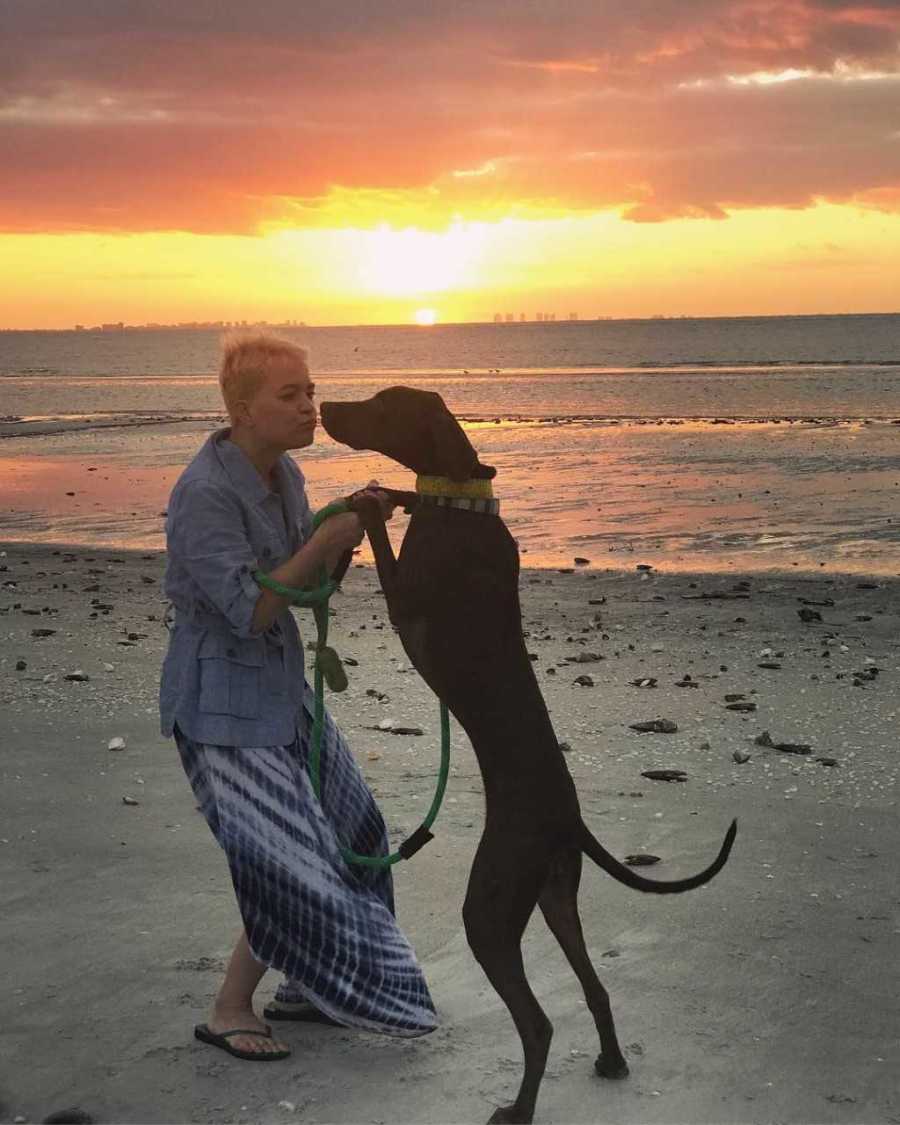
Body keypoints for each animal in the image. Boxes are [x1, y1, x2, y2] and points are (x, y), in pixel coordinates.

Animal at [319, 389, 733, 1125]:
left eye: (381, 404)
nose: (323, 406)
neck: (462, 500)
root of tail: (569, 820)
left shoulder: (405, 601)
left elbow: (381, 538)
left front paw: (371, 502)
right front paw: (391, 492)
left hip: (489, 907)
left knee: (537, 1024)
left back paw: (518, 1108)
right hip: (553, 895)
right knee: (594, 986)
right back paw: (610, 1059)